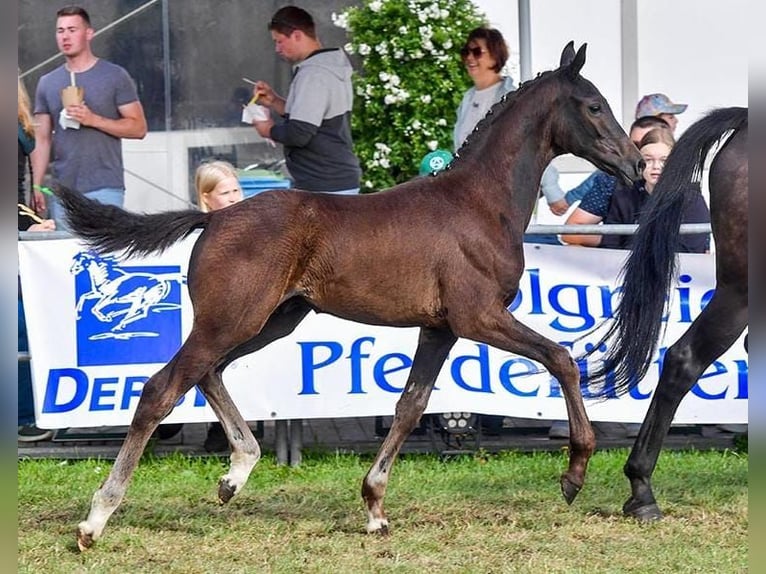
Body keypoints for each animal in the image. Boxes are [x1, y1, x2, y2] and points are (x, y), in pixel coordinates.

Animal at [57, 42, 644, 552]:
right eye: (594, 105)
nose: (637, 164)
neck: (480, 202)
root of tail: (215, 217)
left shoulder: (440, 328)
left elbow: (411, 405)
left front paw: (375, 508)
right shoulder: (478, 316)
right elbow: (561, 357)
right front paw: (574, 473)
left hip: (272, 320)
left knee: (208, 373)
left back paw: (235, 474)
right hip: (233, 320)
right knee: (162, 388)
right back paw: (96, 520)